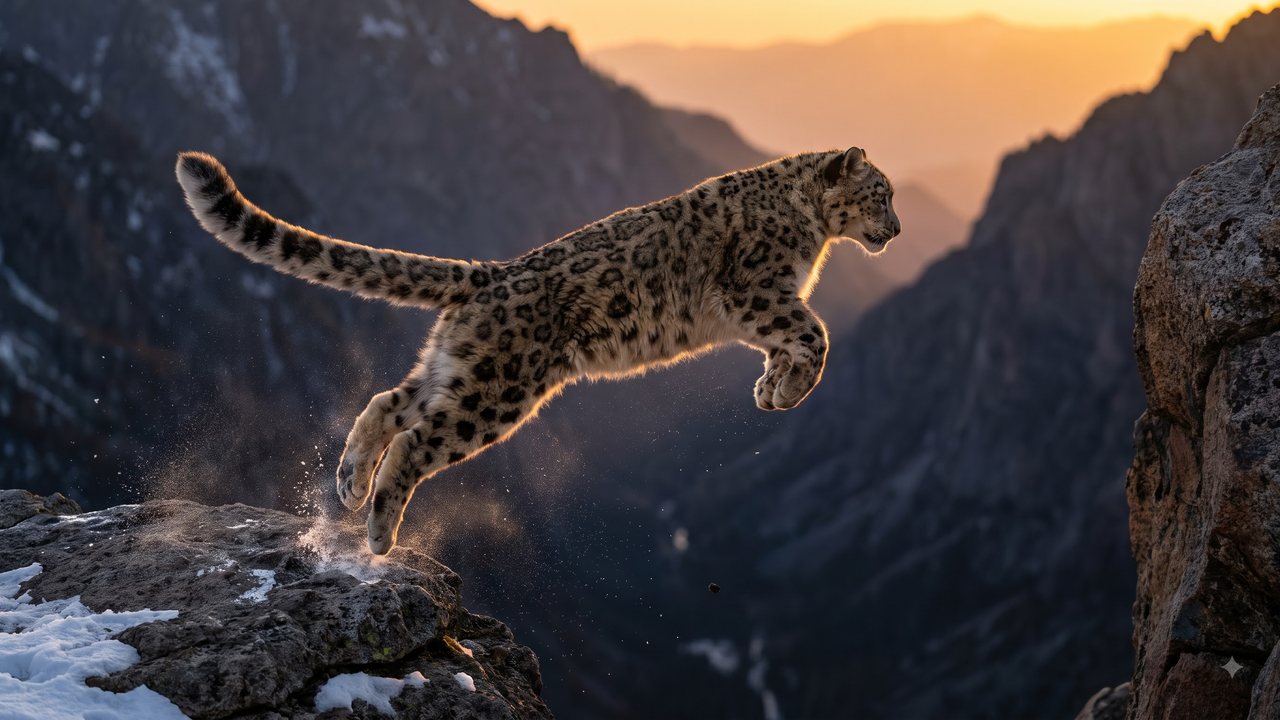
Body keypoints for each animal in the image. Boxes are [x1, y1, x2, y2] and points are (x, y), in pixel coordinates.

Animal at [175, 147, 901, 554]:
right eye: (882, 193)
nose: (896, 229)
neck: (814, 231)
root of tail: (490, 274)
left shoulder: (764, 307)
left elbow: (794, 340)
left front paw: (771, 390)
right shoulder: (757, 291)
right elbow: (815, 333)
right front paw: (787, 389)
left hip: (454, 370)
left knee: (387, 402)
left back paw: (350, 486)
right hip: (496, 390)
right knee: (416, 443)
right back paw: (380, 534)